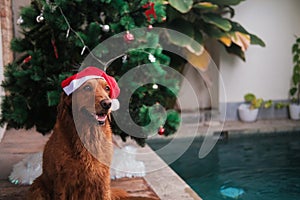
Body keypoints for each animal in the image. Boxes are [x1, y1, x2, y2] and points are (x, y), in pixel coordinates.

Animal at [26, 67, 127, 200]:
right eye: (87, 87)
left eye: (107, 88)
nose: (107, 103)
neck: (89, 134)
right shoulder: (62, 181)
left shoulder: (103, 178)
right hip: (37, 188)